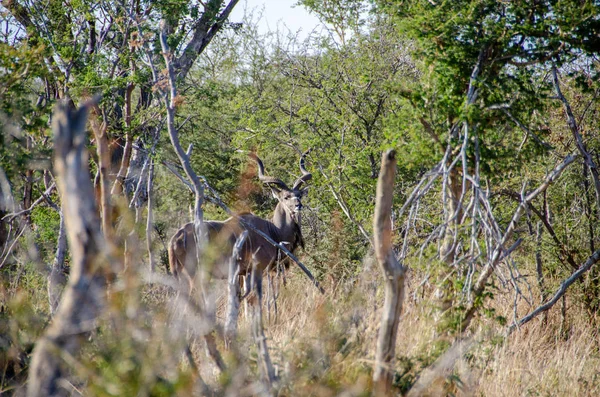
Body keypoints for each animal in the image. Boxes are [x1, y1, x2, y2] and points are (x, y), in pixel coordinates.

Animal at [166, 149, 312, 290]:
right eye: (286, 197)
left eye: (299, 195)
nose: (299, 205)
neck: (273, 231)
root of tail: (177, 237)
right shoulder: (255, 269)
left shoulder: (242, 273)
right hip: (194, 275)